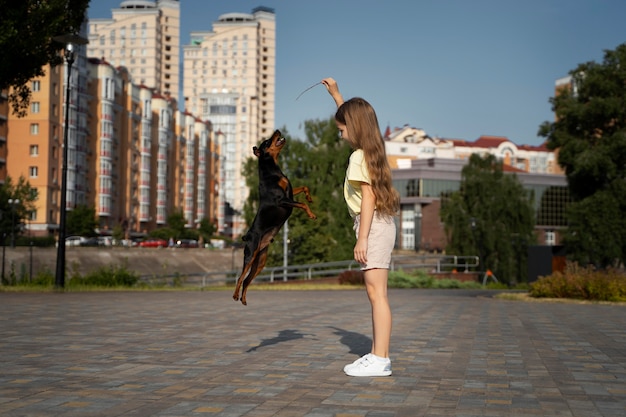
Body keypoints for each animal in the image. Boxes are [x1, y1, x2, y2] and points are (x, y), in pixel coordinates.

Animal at [230, 128, 314, 304]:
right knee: (240, 277)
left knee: (247, 280)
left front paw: (309, 197)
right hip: (251, 254)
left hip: (260, 260)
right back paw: (235, 295)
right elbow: (302, 204)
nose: (277, 130)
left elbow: (304, 187)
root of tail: (246, 237)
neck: (273, 170)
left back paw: (244, 299)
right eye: (267, 141)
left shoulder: (289, 193)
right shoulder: (282, 200)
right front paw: (311, 214)